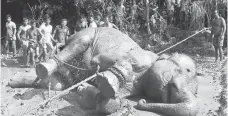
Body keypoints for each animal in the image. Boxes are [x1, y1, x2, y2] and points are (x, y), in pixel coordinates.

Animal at [15, 27, 200, 115]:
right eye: (186, 70)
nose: (142, 102)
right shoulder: (140, 56)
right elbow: (97, 61)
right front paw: (105, 81)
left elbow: (114, 101)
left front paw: (85, 91)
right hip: (86, 33)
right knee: (79, 43)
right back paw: (43, 68)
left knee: (58, 84)